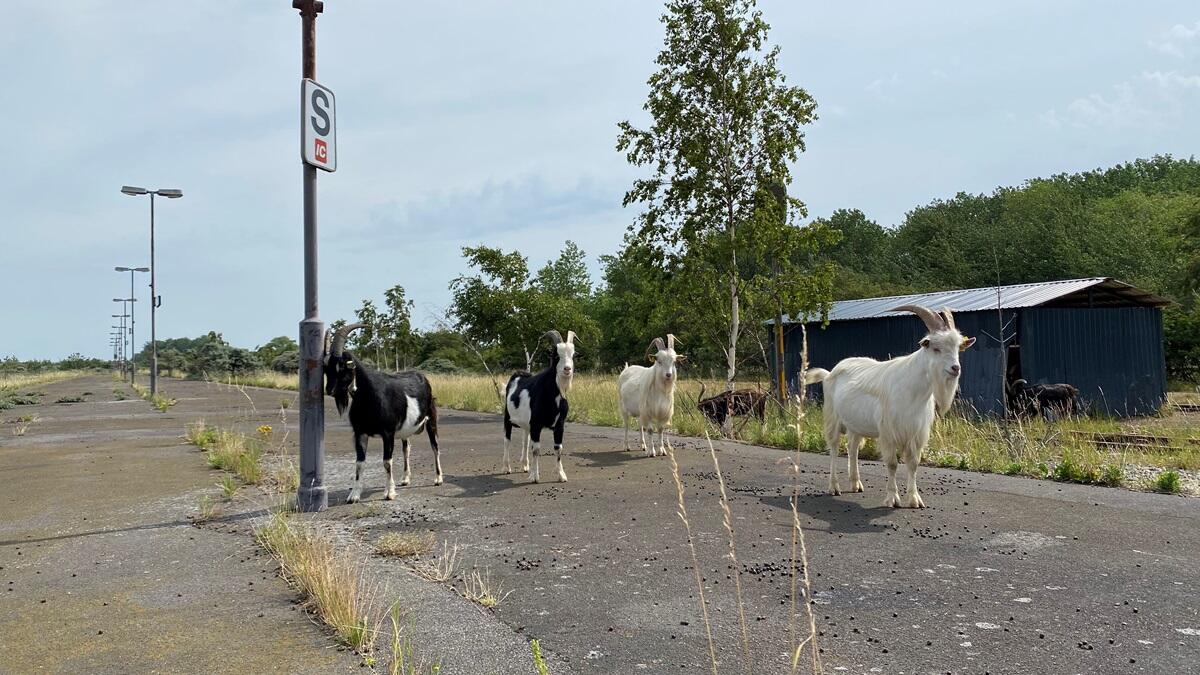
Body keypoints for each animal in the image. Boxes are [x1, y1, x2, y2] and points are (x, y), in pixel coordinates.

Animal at [326, 319, 444, 499]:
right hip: (404, 429)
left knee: (435, 446)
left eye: (342, 368)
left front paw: (389, 493)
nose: (329, 390)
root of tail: (423, 377)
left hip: (431, 420)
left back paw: (438, 479)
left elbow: (387, 461)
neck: (369, 396)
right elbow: (359, 462)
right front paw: (354, 495)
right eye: (326, 369)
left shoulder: (387, 433)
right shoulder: (360, 432)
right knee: (406, 448)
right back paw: (405, 479)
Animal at [501, 329, 576, 480]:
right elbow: (536, 449)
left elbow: (558, 448)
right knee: (507, 440)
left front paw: (561, 475)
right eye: (555, 355)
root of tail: (517, 374)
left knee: (525, 440)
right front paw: (534, 477)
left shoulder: (560, 425)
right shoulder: (536, 424)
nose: (567, 369)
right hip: (507, 417)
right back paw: (507, 468)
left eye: (573, 354)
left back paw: (525, 465)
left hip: (526, 424)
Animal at [796, 305, 974, 504]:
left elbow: (913, 464)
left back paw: (855, 484)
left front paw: (914, 499)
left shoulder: (916, 433)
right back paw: (834, 487)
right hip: (832, 419)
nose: (955, 368)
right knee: (834, 449)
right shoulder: (889, 432)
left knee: (852, 449)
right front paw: (892, 498)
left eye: (958, 348)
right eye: (936, 348)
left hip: (855, 425)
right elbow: (892, 464)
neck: (913, 389)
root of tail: (829, 374)